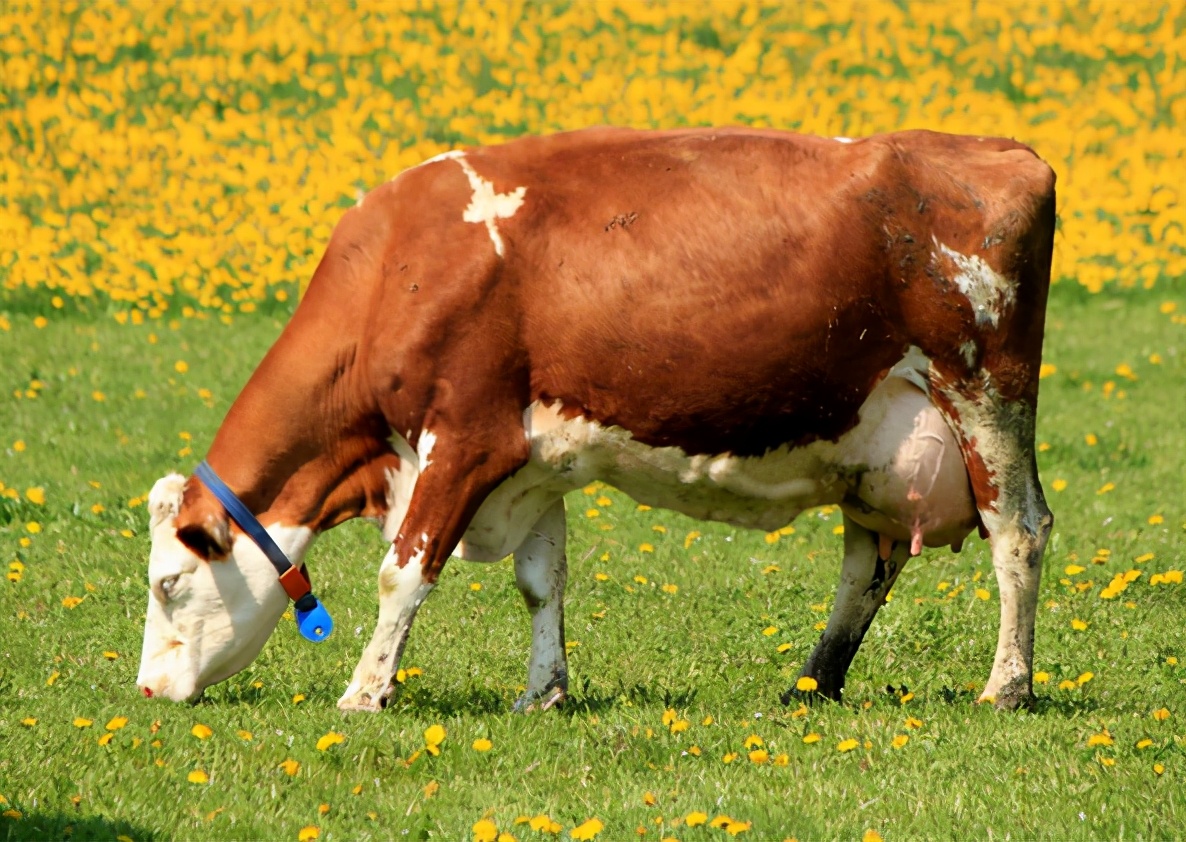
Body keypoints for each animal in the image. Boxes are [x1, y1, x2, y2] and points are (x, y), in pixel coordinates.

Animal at [138, 125, 1057, 716]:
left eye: (168, 582)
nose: (147, 690)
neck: (400, 267)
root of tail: (1003, 150)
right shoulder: (532, 463)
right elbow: (542, 581)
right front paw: (542, 692)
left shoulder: (465, 440)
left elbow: (404, 574)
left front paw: (365, 692)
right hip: (879, 445)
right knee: (868, 565)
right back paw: (812, 683)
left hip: (985, 398)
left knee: (1020, 532)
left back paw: (1005, 687)